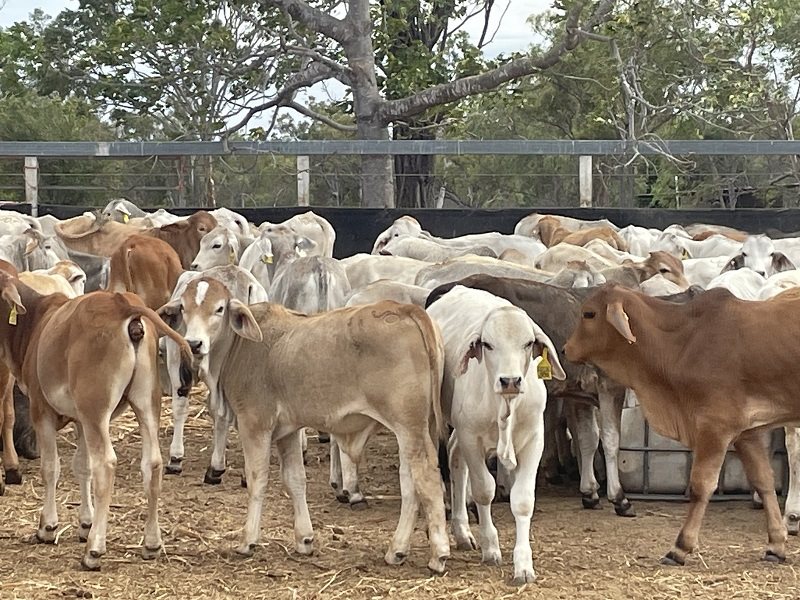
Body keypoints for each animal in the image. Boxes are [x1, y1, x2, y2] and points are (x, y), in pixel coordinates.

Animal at [428, 288, 564, 584]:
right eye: (488, 344)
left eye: (527, 343)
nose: (510, 381)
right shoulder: (471, 438)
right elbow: (484, 490)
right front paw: (491, 547)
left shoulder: (534, 441)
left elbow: (522, 501)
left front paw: (523, 565)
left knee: (455, 457)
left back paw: (463, 532)